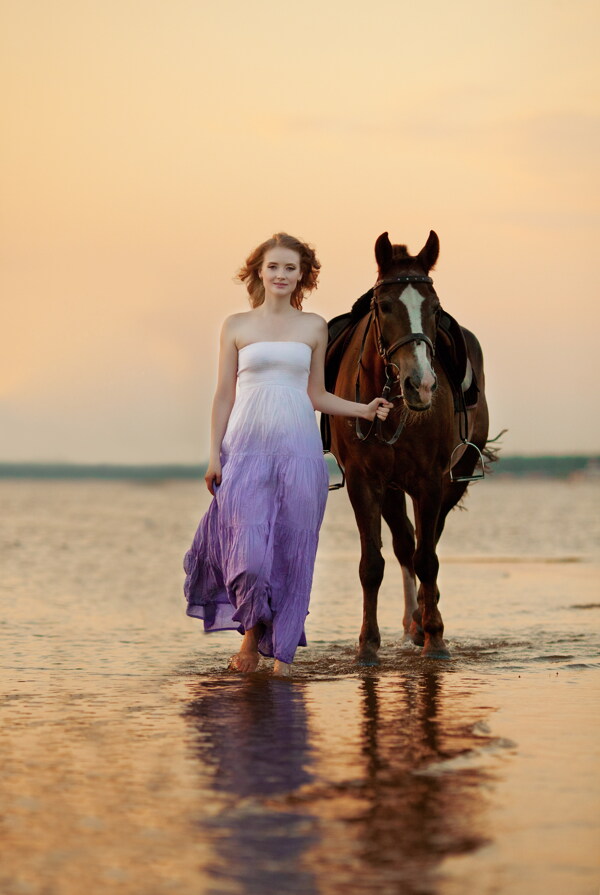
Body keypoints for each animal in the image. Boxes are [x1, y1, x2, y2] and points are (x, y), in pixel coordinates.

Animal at [326, 231, 494, 664]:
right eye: (384, 306)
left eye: (434, 308)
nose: (421, 385)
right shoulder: (365, 482)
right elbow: (373, 563)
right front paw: (367, 645)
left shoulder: (430, 481)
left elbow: (427, 558)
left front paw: (435, 638)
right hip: (390, 488)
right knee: (404, 543)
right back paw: (411, 622)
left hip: (451, 480)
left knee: (424, 543)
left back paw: (423, 621)